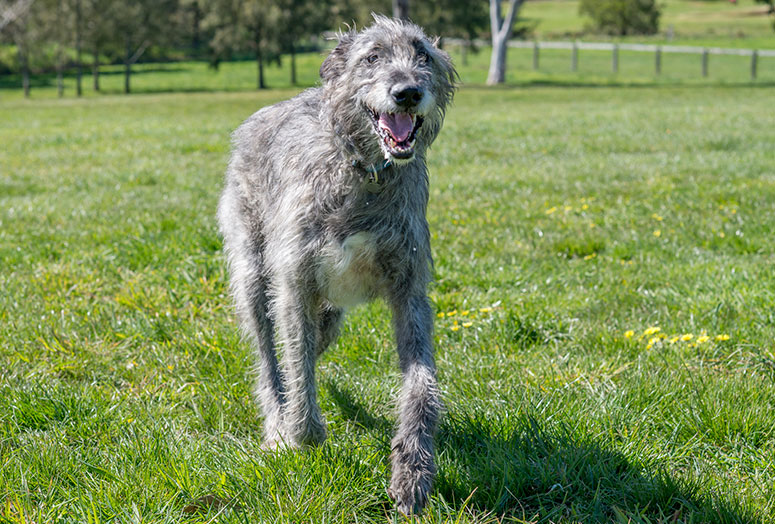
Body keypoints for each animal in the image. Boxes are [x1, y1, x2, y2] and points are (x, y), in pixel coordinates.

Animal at [217, 16, 454, 516]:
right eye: (372, 57)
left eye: (423, 54)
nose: (407, 92)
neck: (367, 173)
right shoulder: (295, 283)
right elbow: (296, 366)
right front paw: (298, 432)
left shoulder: (409, 291)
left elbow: (421, 384)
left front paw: (412, 471)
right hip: (253, 272)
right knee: (270, 355)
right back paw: (276, 423)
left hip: (331, 311)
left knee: (312, 340)